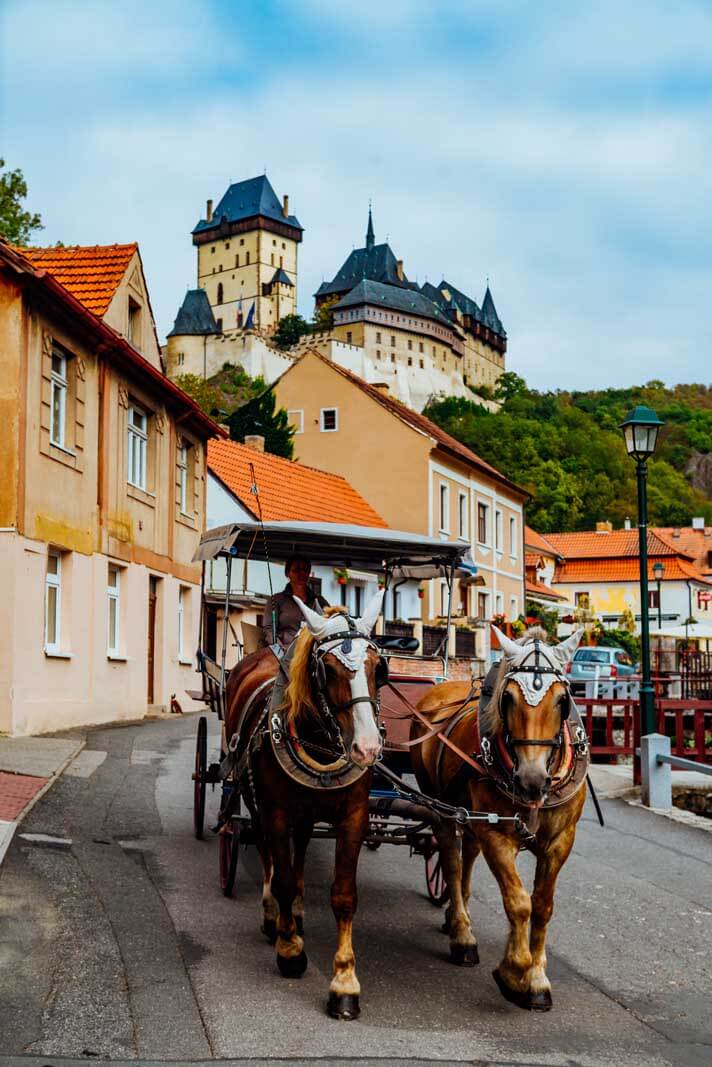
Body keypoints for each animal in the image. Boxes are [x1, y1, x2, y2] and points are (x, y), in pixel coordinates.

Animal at [224, 593, 386, 1015]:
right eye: (327, 669)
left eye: (379, 668)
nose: (367, 748)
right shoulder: (276, 812)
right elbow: (280, 876)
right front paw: (290, 951)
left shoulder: (354, 816)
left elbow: (343, 895)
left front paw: (344, 982)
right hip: (255, 797)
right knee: (265, 849)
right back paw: (275, 916)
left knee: (300, 849)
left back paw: (295, 911)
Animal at [409, 623, 589, 1007]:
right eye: (508, 698)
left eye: (562, 700)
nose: (532, 780)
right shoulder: (497, 834)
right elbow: (518, 902)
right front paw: (514, 972)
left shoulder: (560, 840)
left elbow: (542, 905)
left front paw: (536, 975)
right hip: (441, 808)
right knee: (451, 860)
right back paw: (462, 935)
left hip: (468, 815)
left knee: (466, 856)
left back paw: (455, 915)